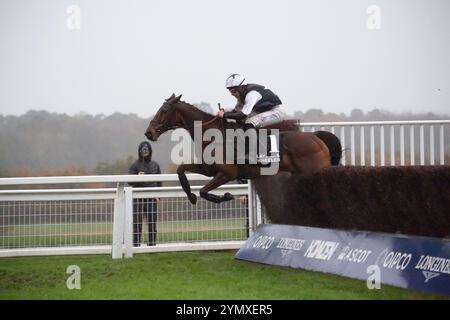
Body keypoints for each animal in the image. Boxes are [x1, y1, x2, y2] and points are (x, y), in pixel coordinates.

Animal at [145, 94, 342, 204]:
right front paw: (191, 197)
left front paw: (225, 196)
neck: (213, 135)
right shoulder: (208, 169)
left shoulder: (227, 174)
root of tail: (316, 137)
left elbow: (204, 191)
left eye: (164, 110)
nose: (149, 132)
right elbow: (181, 171)